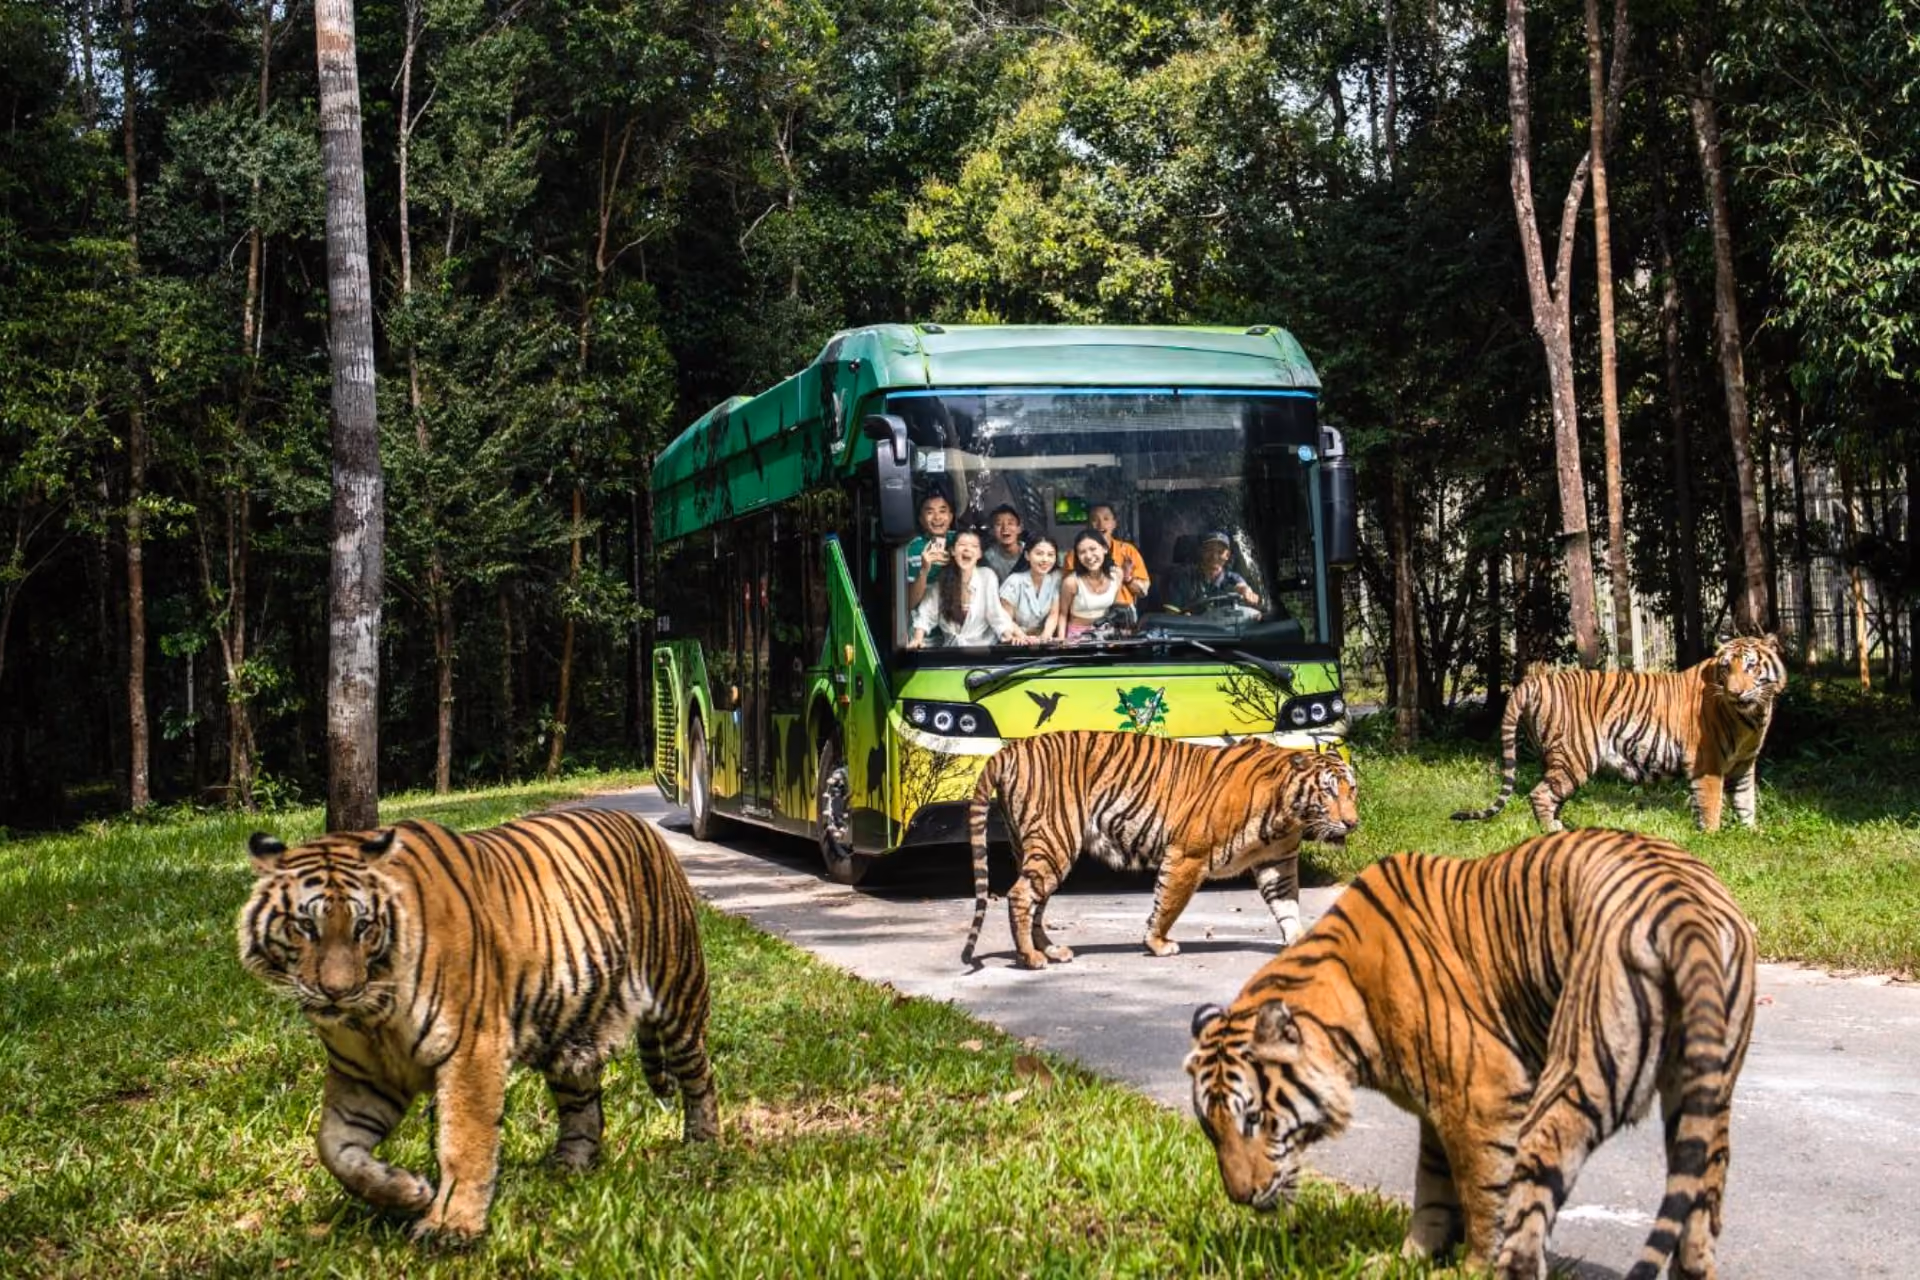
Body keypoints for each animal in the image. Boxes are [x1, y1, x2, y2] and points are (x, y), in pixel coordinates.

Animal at [236, 807, 717, 1244]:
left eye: (363, 927)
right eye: (305, 926)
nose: (337, 991)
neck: (373, 1016)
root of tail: (640, 824)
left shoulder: (470, 1050)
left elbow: (463, 1144)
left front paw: (451, 1226)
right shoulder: (364, 1076)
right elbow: (334, 1148)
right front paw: (407, 1191)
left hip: (679, 996)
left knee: (699, 1077)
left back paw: (701, 1146)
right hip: (570, 1033)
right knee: (582, 1106)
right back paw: (567, 1167)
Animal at [960, 730, 1358, 970]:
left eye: (1351, 790)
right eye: (1328, 792)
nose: (1353, 823)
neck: (1287, 815)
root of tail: (1010, 748)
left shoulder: (1277, 862)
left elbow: (1287, 906)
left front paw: (1300, 942)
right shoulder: (1187, 855)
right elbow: (1168, 904)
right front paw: (1157, 943)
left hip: (1037, 848)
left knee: (1035, 901)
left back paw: (1051, 951)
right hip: (1055, 842)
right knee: (1020, 895)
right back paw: (1031, 957)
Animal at [1186, 828, 1755, 1280]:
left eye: (1254, 1118)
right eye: (1211, 1130)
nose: (1240, 1196)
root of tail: (1683, 908)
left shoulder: (1482, 1096)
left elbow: (1484, 1194)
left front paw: (1468, 1267)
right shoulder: (1440, 1106)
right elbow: (1433, 1189)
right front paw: (1409, 1259)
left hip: (1575, 1079)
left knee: (1530, 1216)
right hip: (1702, 1099)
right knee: (1701, 1210)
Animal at [1453, 634, 1787, 833]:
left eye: (1751, 667)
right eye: (1726, 668)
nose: (1735, 692)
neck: (1754, 714)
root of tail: (1535, 681)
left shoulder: (1743, 764)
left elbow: (1745, 801)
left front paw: (1751, 833)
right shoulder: (1708, 764)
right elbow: (1711, 805)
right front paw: (1712, 838)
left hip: (1555, 757)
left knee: (1550, 793)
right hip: (1575, 755)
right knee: (1540, 794)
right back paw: (1554, 832)